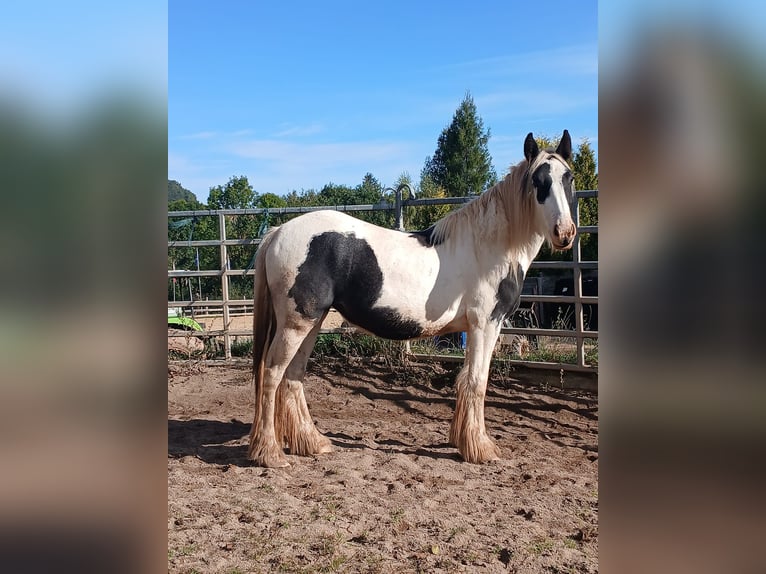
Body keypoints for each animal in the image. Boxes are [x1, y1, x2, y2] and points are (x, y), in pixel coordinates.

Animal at [249, 130, 580, 468]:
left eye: (568, 178)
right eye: (538, 182)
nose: (564, 233)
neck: (490, 247)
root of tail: (278, 232)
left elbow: (465, 380)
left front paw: (462, 441)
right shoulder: (485, 324)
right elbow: (477, 381)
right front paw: (481, 449)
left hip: (312, 323)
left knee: (293, 376)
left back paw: (312, 443)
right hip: (296, 324)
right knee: (272, 375)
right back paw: (270, 453)